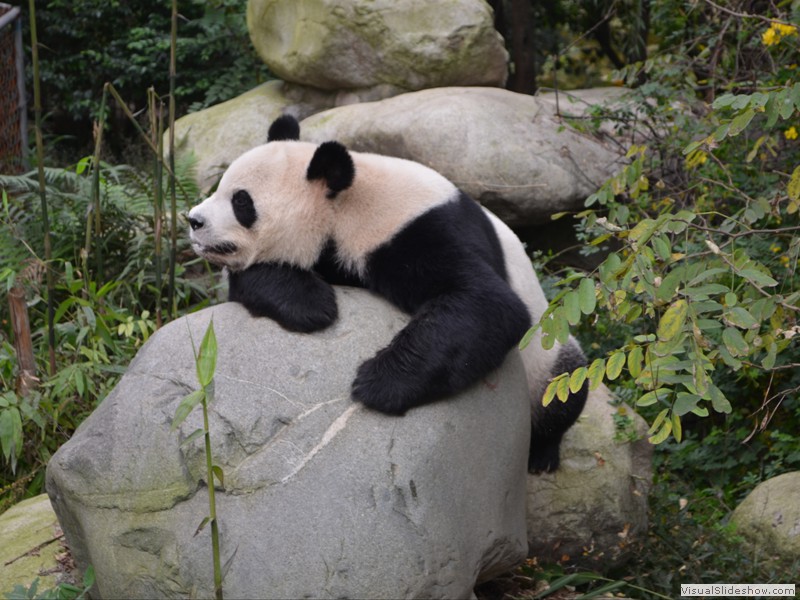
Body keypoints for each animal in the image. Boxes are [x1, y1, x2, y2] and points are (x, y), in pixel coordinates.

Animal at [188, 115, 588, 474]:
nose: (193, 220)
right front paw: (310, 303)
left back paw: (542, 455)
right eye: (220, 187)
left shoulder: (418, 229)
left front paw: (378, 382)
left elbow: (490, 303)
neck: (346, 205)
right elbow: (249, 278)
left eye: (241, 202)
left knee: (565, 386)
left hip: (548, 355)